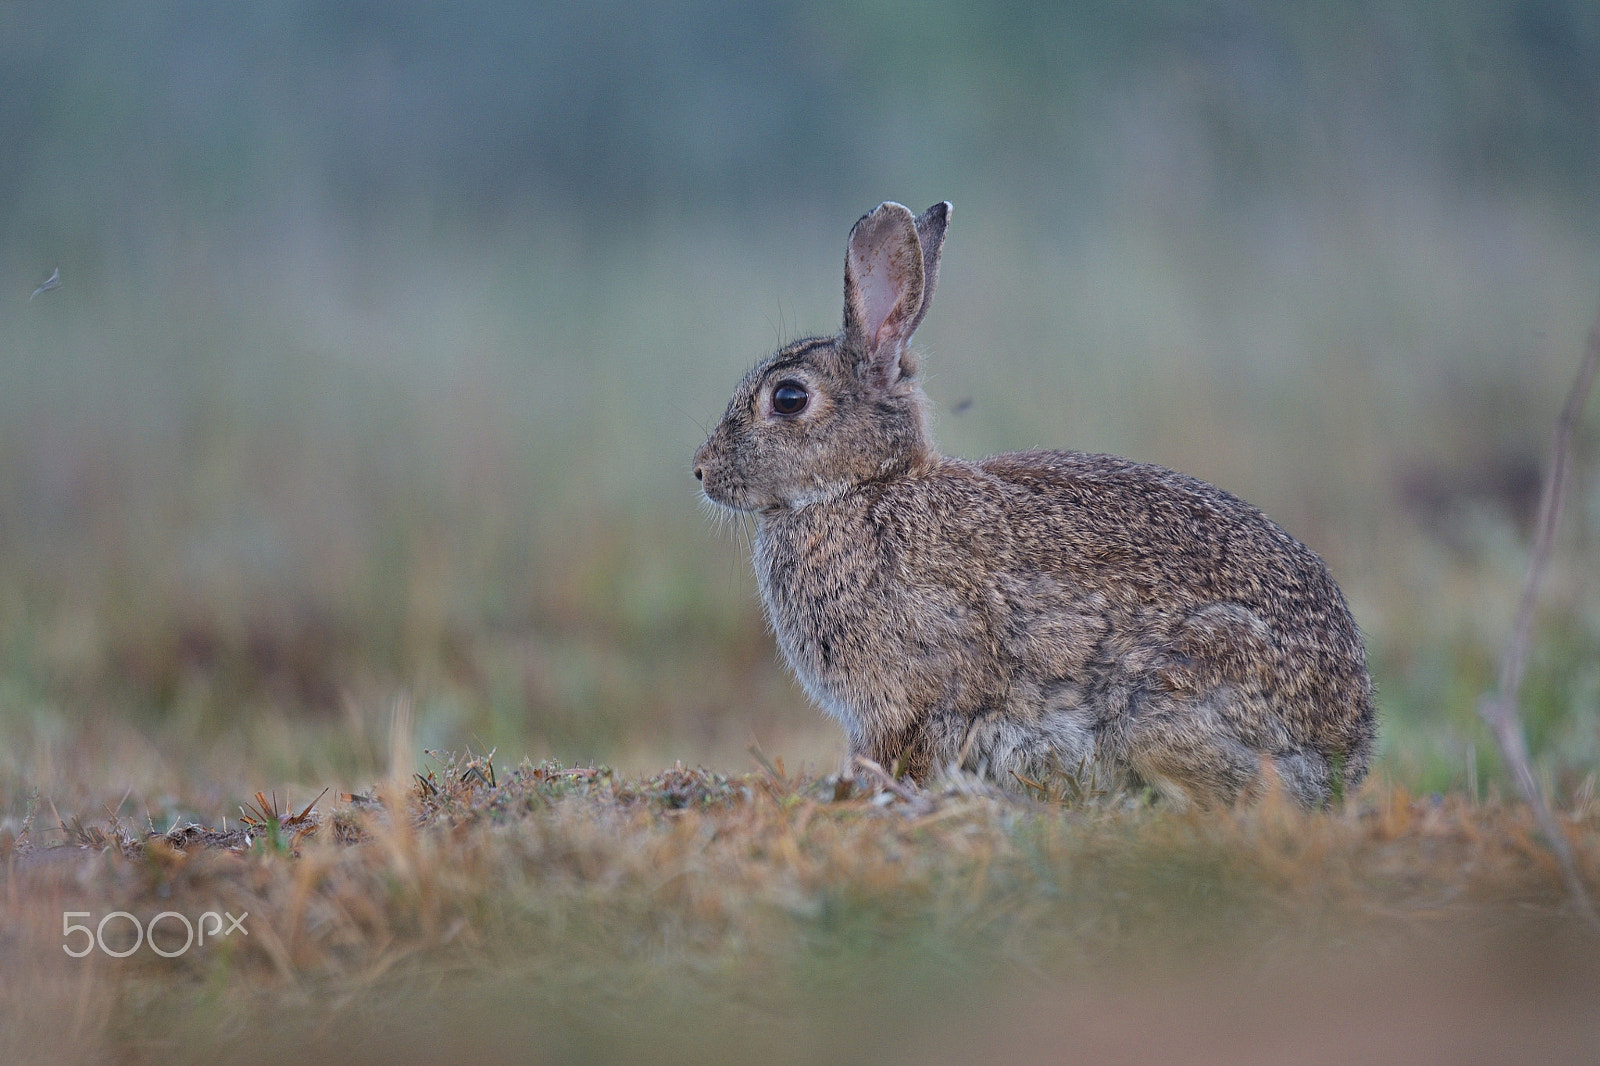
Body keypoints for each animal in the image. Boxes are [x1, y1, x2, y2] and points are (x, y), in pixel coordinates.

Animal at [691, 199, 1376, 806]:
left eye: (788, 399)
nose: (700, 470)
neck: (864, 488)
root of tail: (1348, 748)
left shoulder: (905, 697)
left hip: (1163, 707)